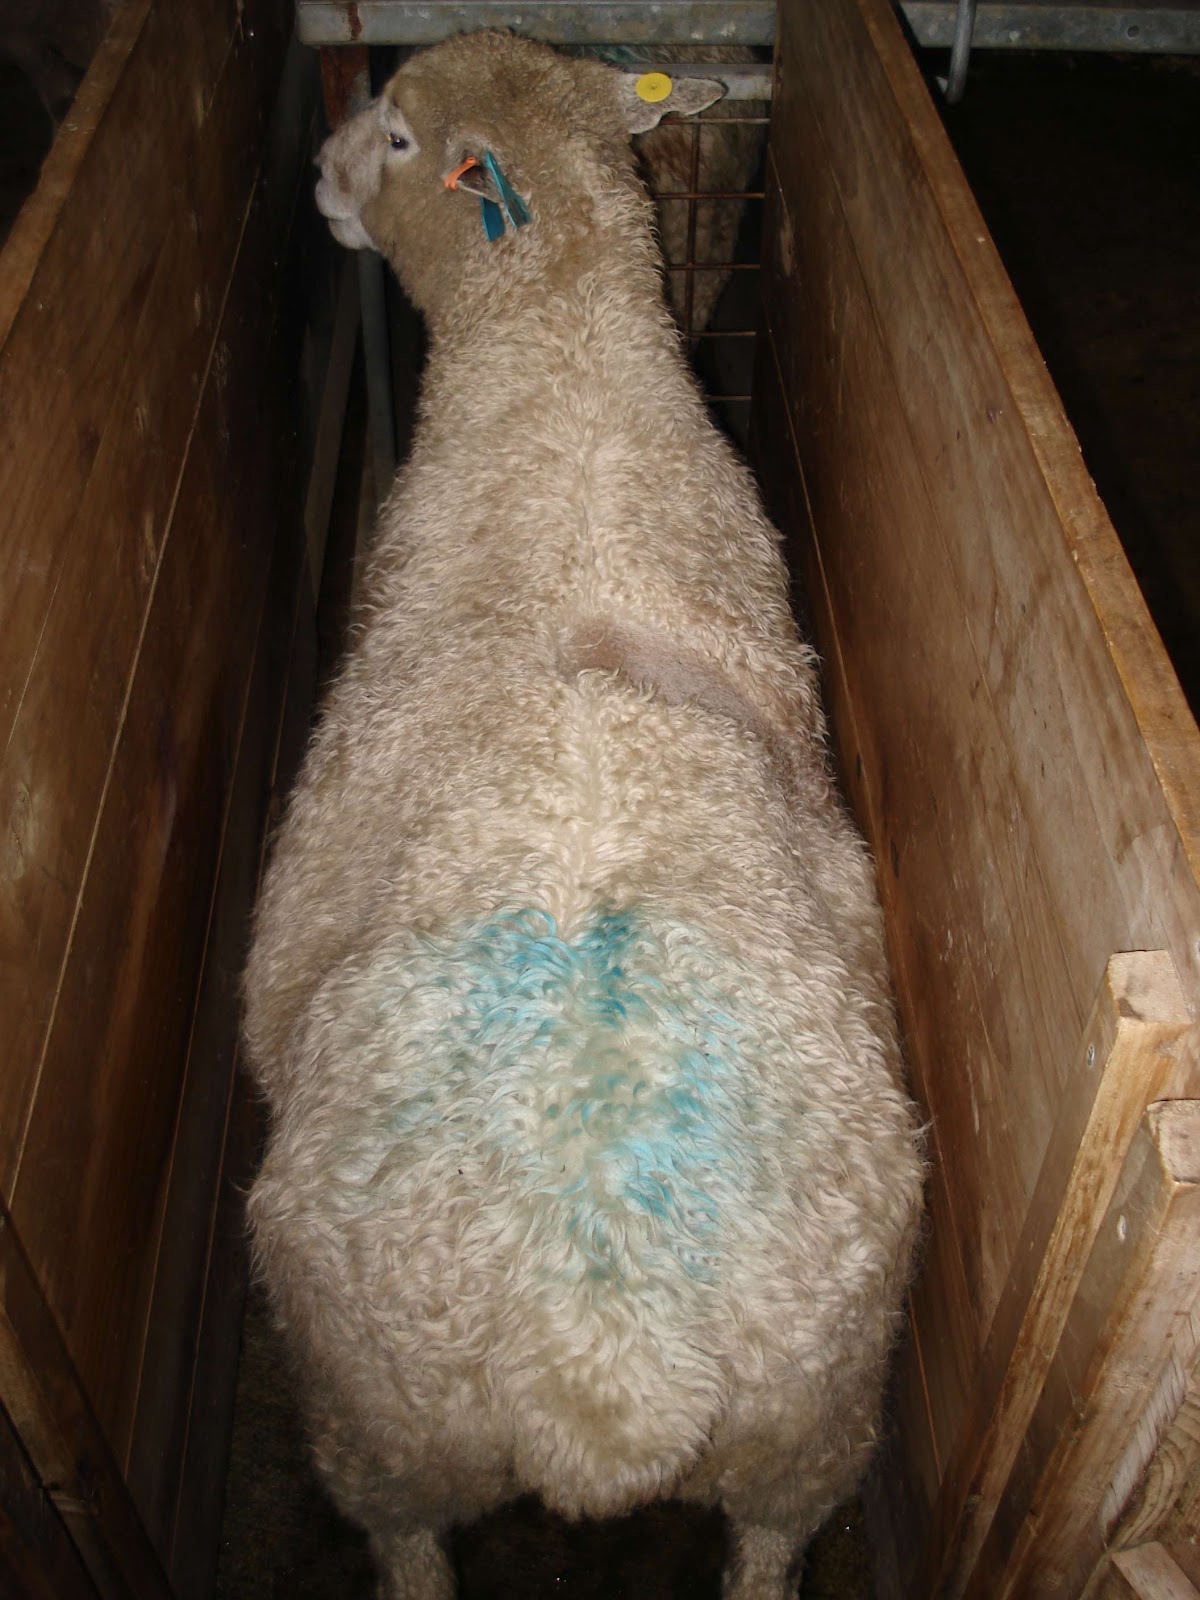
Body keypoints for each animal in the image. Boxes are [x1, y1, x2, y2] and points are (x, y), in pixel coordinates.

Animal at [243, 29, 924, 1600]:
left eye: (392, 133)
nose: (316, 177)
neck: (559, 356)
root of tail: (599, 1359)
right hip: (816, 1418)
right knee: (770, 1546)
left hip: (374, 1425)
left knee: (408, 1545)